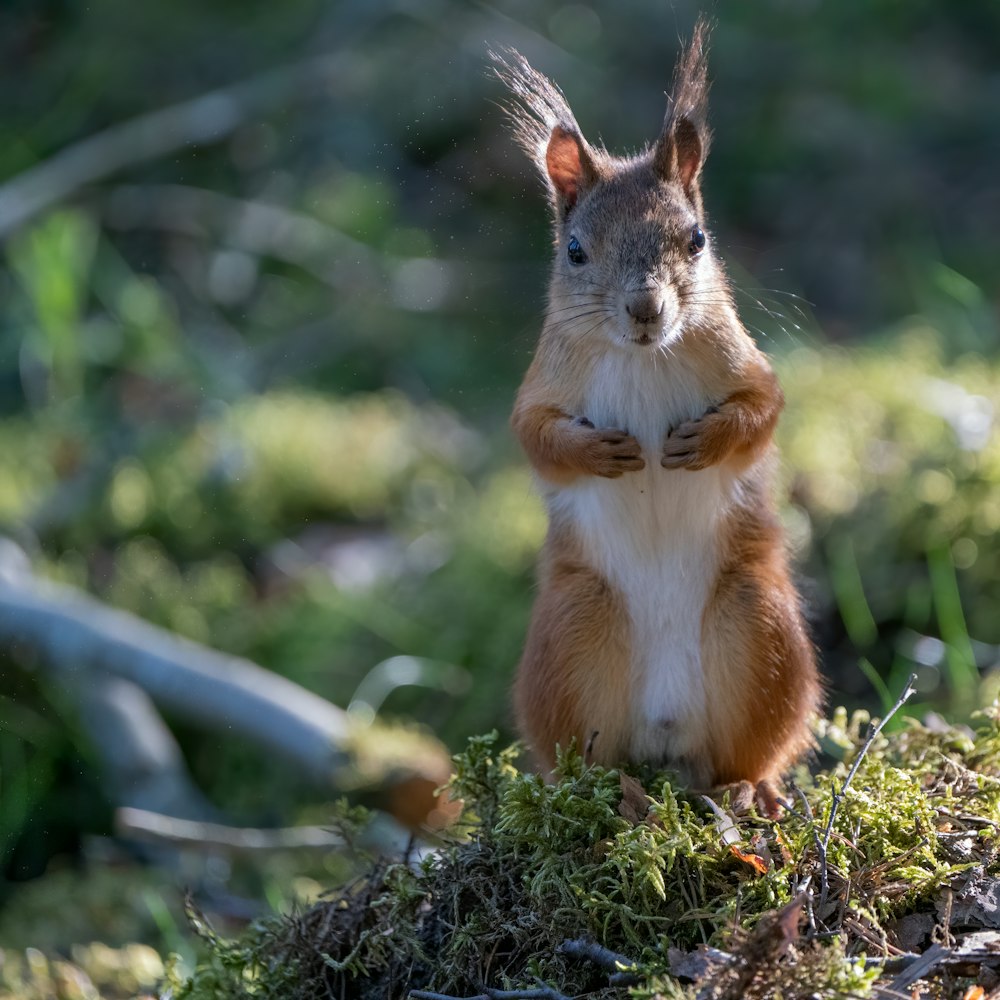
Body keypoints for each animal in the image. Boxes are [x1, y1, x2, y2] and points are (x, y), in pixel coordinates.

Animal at [492, 23, 820, 816]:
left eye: (696, 238)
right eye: (575, 250)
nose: (646, 309)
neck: (642, 357)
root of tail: (671, 740)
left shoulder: (745, 364)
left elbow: (764, 411)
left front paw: (704, 441)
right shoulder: (541, 385)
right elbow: (535, 436)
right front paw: (601, 451)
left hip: (758, 628)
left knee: (752, 749)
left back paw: (750, 789)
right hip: (573, 635)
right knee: (586, 759)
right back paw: (617, 794)